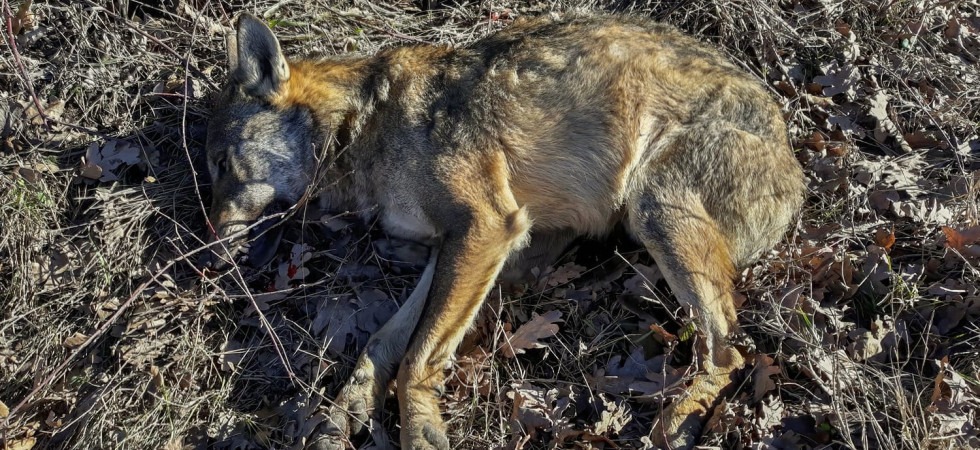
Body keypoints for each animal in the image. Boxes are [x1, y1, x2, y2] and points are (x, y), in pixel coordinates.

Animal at [198, 11, 805, 450]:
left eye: (223, 166)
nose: (207, 255)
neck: (362, 124)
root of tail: (795, 173)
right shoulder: (454, 247)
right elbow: (382, 343)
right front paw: (340, 417)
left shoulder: (486, 228)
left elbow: (417, 358)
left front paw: (419, 430)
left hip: (654, 210)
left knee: (728, 353)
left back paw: (677, 422)